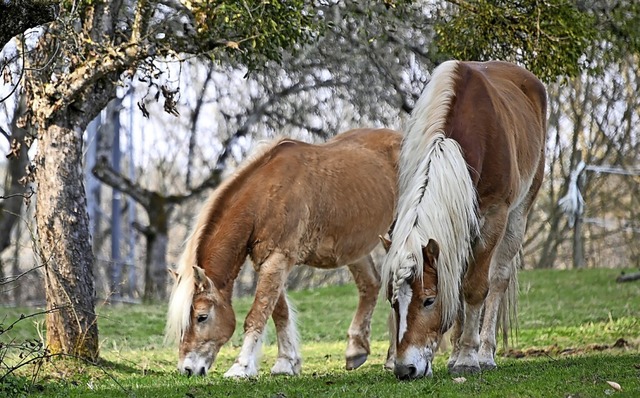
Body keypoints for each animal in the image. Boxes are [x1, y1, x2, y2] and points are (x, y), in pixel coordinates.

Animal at [168, 127, 402, 376]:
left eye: (201, 317)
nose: (187, 369)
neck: (265, 196)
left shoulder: (278, 258)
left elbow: (258, 314)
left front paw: (241, 367)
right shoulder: (267, 260)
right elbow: (279, 311)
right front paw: (286, 362)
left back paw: (393, 358)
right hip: (355, 248)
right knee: (370, 285)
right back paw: (356, 351)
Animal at [382, 59, 548, 380]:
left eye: (429, 299)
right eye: (393, 301)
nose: (406, 369)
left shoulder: (493, 217)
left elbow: (474, 288)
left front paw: (469, 358)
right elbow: (455, 285)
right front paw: (456, 353)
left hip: (518, 215)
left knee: (498, 280)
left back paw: (485, 353)